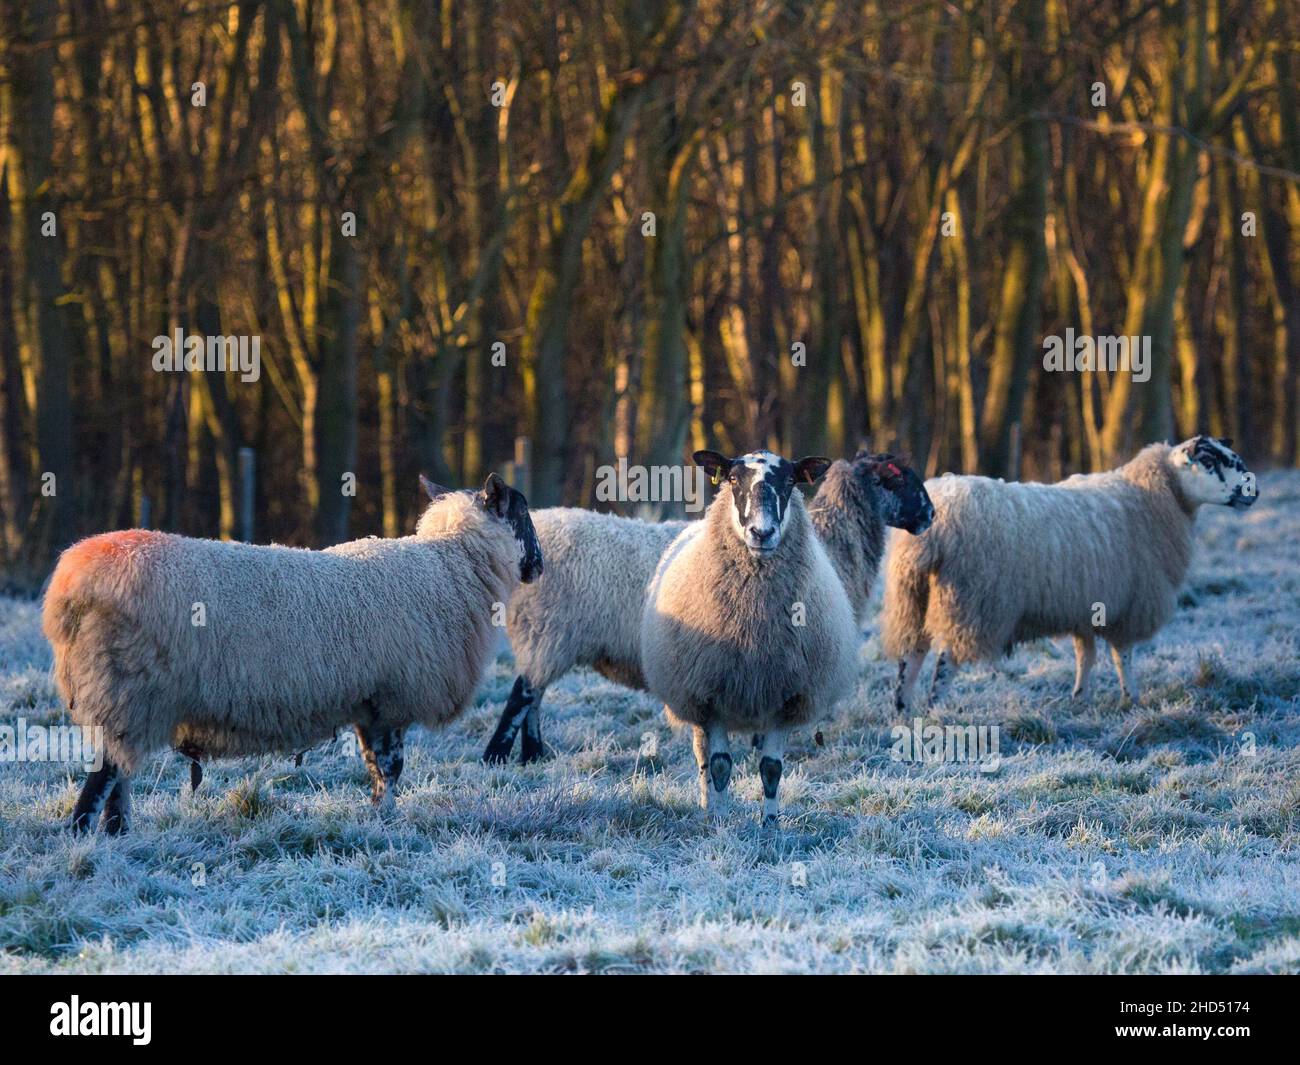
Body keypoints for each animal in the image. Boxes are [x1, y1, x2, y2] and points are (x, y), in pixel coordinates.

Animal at [44, 475, 543, 832]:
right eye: (523, 513)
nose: (539, 566)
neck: (452, 567)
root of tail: (68, 588)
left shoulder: (369, 699)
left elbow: (375, 768)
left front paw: (377, 820)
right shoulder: (391, 698)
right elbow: (391, 768)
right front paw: (389, 822)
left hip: (120, 700)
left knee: (118, 776)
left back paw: (118, 834)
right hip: (128, 690)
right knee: (103, 780)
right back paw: (86, 840)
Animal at [483, 449, 930, 764]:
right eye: (899, 478)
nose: (929, 514)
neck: (831, 541)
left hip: (545, 638)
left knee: (534, 697)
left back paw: (534, 756)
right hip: (548, 632)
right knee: (522, 696)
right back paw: (497, 758)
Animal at [639, 447, 863, 827]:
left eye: (790, 482)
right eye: (732, 479)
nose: (762, 533)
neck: (755, 626)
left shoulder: (786, 696)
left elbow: (771, 769)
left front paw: (770, 826)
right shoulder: (709, 693)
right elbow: (719, 766)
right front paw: (720, 822)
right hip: (691, 696)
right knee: (702, 757)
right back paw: (707, 807)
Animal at [878, 436, 1253, 712]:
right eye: (1209, 461)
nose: (1254, 491)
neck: (1153, 499)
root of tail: (931, 529)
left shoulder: (1086, 606)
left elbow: (1085, 656)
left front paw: (1080, 699)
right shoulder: (1128, 606)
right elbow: (1123, 657)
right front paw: (1130, 699)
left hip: (912, 596)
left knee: (910, 656)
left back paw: (903, 711)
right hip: (971, 602)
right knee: (945, 661)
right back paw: (934, 711)